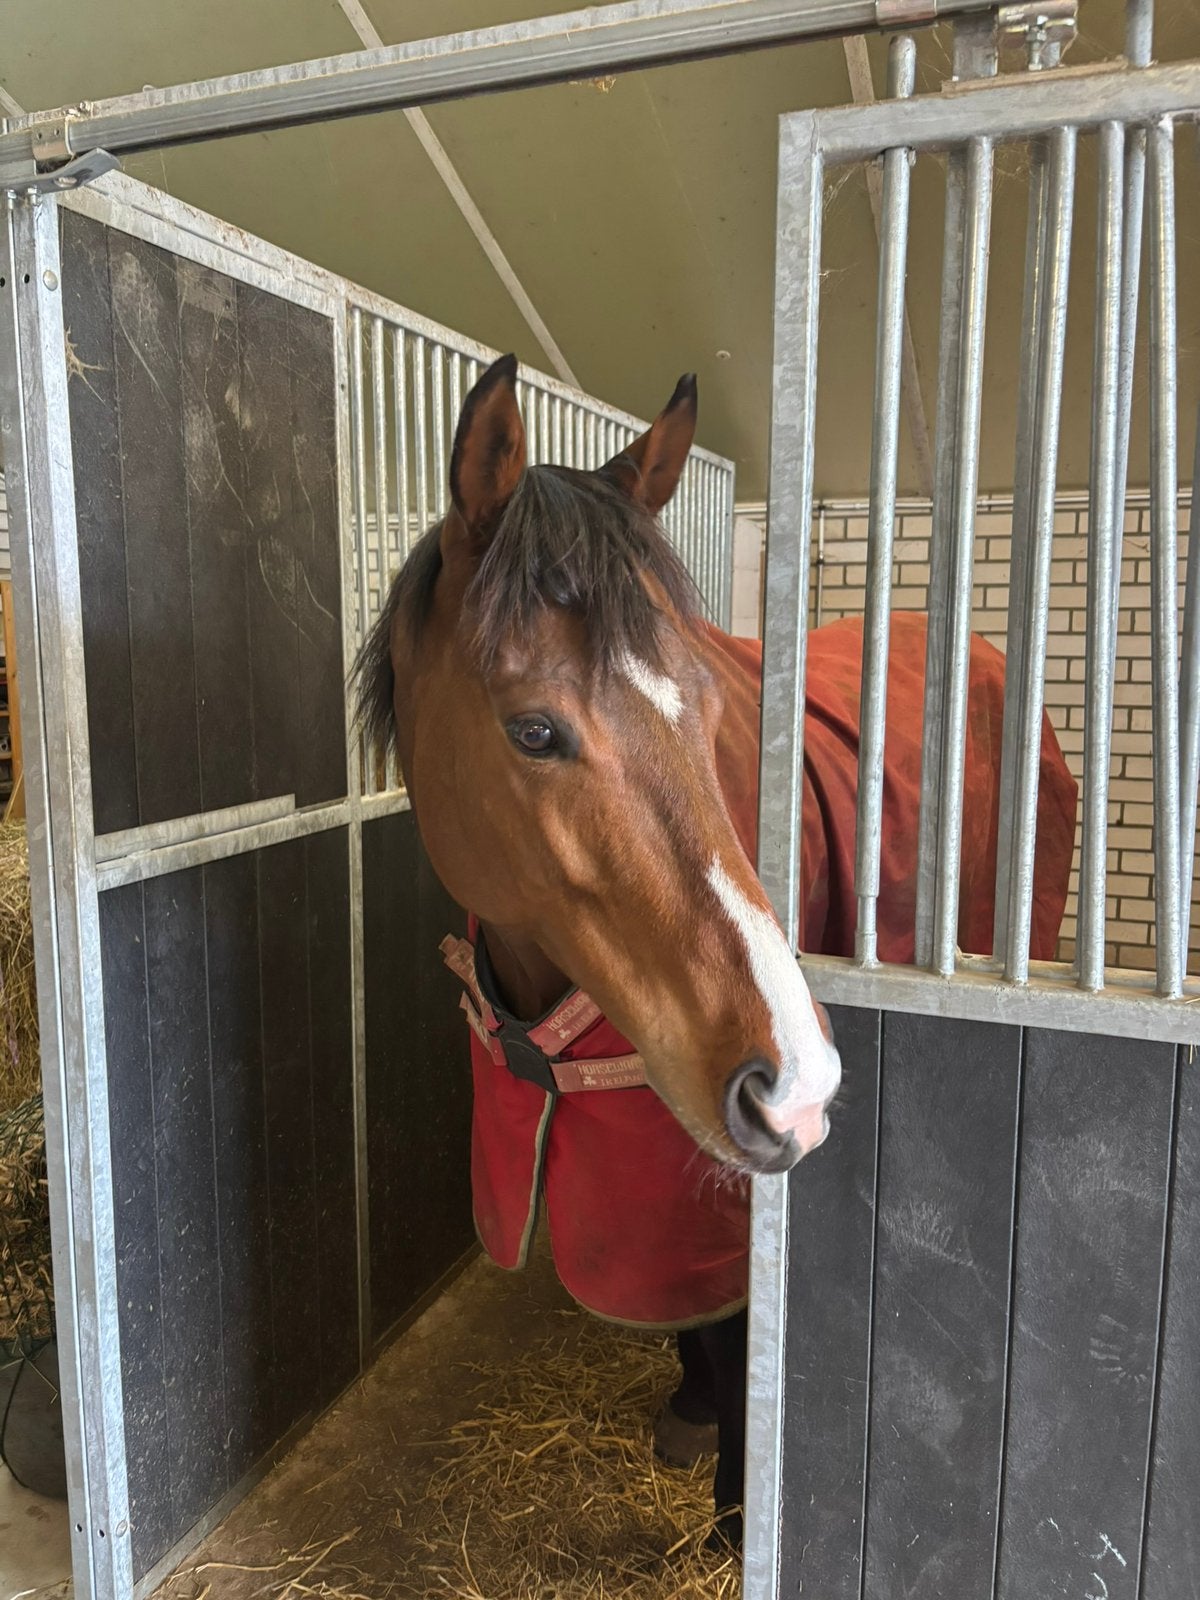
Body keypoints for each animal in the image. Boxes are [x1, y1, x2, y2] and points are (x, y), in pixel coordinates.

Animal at [355, 354, 1078, 1552]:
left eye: (700, 701)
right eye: (535, 729)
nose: (799, 1082)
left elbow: (742, 1327)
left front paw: (742, 1512)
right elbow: (697, 1324)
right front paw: (694, 1413)